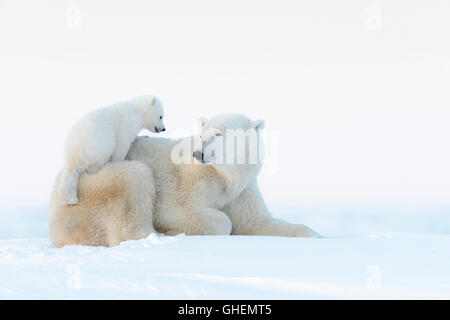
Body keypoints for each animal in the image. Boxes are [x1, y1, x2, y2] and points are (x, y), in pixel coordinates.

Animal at [49, 113, 318, 248]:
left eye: (218, 134)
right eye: (201, 133)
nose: (198, 153)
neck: (224, 176)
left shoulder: (242, 190)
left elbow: (256, 221)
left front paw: (315, 235)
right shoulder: (190, 182)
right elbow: (207, 217)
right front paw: (179, 228)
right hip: (95, 186)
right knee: (134, 182)